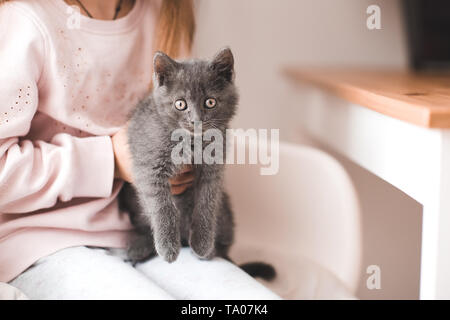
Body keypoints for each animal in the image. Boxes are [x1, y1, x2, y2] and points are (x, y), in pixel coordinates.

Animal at [119, 48, 274, 280]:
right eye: (180, 104)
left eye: (210, 102)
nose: (196, 120)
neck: (192, 142)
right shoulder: (149, 165)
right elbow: (162, 205)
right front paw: (167, 246)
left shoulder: (214, 167)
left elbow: (206, 204)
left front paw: (202, 243)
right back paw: (140, 247)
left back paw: (210, 251)